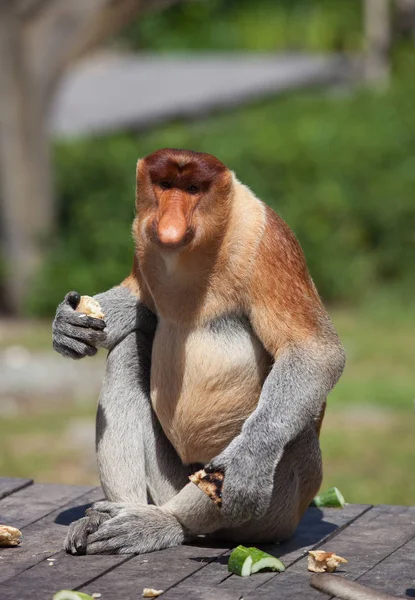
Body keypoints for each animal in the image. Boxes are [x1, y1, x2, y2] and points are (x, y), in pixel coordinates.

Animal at [52, 148, 346, 556]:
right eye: (165, 185)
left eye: (192, 189)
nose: (169, 225)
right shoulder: (143, 240)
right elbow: (143, 304)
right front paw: (66, 325)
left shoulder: (267, 241)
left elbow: (314, 351)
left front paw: (247, 464)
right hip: (169, 480)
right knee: (127, 352)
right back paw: (111, 516)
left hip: (278, 512)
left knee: (293, 430)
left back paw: (164, 523)